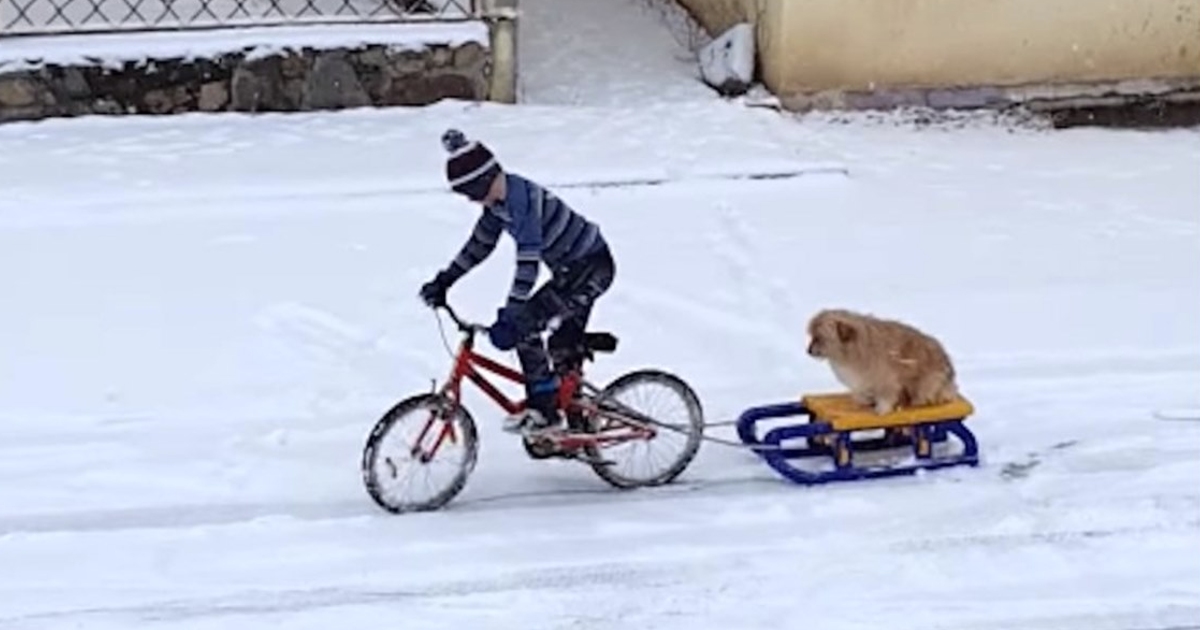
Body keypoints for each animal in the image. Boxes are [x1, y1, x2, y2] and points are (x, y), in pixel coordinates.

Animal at [801, 307, 960, 415]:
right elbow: (862, 393)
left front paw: (882, 409)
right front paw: (864, 401)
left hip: (926, 384)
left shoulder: (886, 379)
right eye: (812, 336)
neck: (853, 349)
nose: (808, 351)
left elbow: (886, 396)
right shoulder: (861, 381)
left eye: (819, 338)